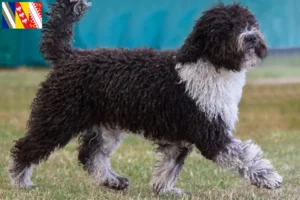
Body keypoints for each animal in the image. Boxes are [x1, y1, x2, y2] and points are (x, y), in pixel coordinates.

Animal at [8, 0, 282, 196]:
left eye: (250, 23)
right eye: (227, 27)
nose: (251, 37)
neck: (210, 65)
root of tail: (69, 55)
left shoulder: (180, 137)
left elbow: (169, 166)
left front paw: (165, 190)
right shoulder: (209, 132)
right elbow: (244, 156)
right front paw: (269, 178)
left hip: (106, 125)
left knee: (91, 156)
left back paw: (113, 181)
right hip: (56, 118)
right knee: (25, 147)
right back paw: (20, 181)